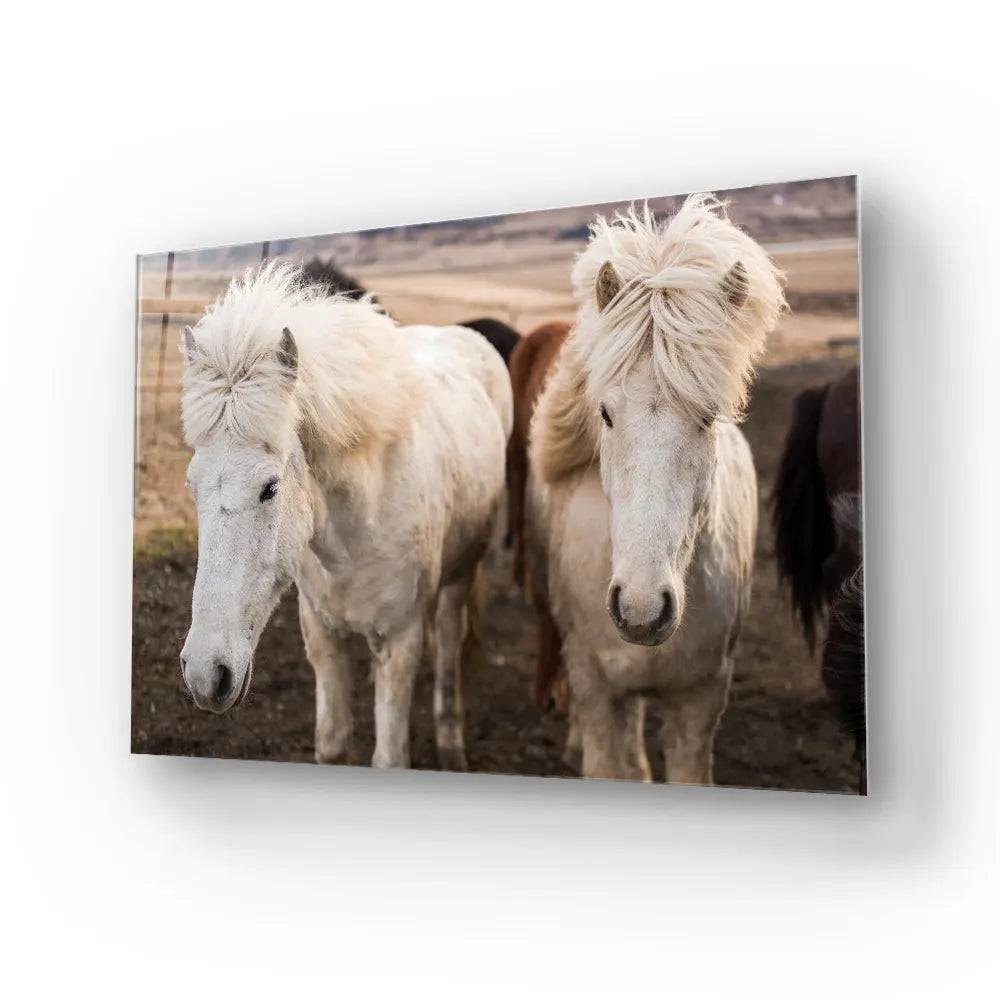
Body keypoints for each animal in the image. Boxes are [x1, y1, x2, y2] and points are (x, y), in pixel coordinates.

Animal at [177, 262, 512, 770]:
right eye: (192, 486)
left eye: (269, 488)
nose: (205, 673)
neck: (357, 528)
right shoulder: (322, 637)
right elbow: (333, 743)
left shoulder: (399, 643)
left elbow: (389, 757)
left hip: (461, 574)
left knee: (450, 645)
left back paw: (452, 745)